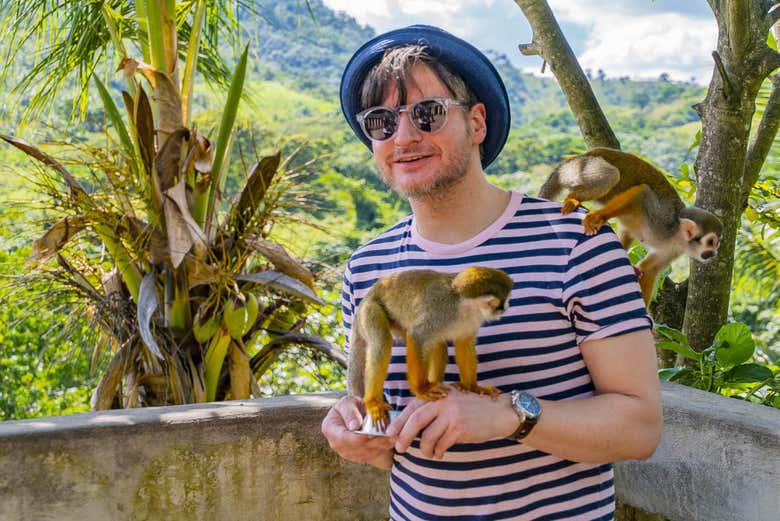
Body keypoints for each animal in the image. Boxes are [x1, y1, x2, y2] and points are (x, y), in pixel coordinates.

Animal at [348, 266, 512, 428]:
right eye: (502, 303)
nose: (506, 307)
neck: (465, 307)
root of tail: (370, 293)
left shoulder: (472, 320)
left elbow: (463, 342)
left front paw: (474, 388)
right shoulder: (441, 311)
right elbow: (417, 337)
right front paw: (422, 389)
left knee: (437, 343)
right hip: (369, 310)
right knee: (383, 341)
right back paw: (373, 402)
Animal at [540, 146, 724, 306]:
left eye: (717, 243)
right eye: (711, 242)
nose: (714, 253)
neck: (676, 235)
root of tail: (578, 158)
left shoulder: (675, 249)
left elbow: (649, 270)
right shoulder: (663, 219)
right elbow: (641, 193)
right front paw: (598, 216)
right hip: (583, 168)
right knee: (611, 176)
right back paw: (573, 198)